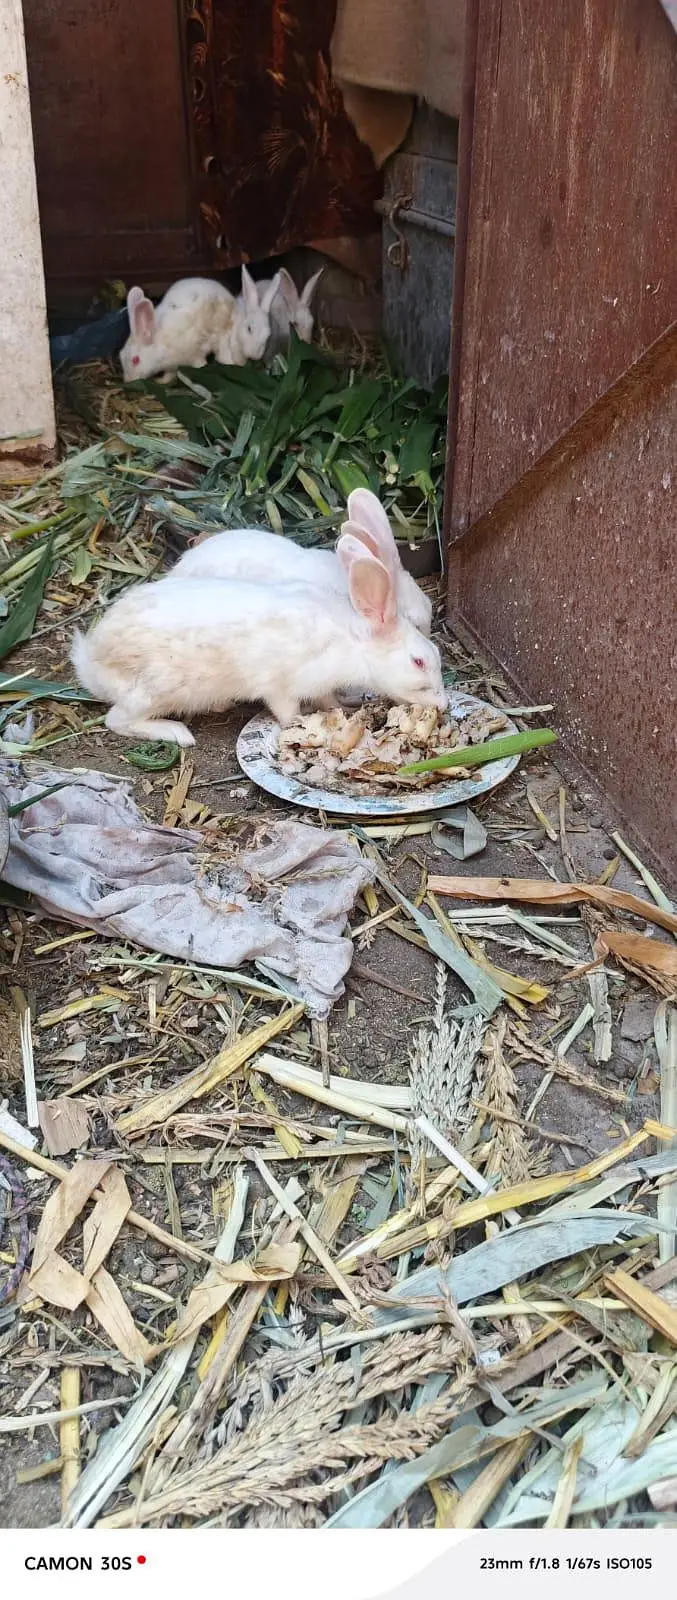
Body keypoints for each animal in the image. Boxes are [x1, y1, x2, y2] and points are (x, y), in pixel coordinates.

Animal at [70, 536, 445, 748]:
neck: (351, 642)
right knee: (117, 720)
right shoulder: (280, 687)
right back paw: (177, 733)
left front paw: (340, 708)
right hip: (154, 691)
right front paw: (300, 725)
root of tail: (91, 661)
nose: (442, 703)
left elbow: (327, 699)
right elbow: (287, 711)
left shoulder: (319, 685)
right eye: (418, 661)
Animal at [120, 267, 281, 382]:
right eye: (120, 356)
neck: (160, 343)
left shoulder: (189, 355)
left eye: (135, 360)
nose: (128, 381)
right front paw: (161, 382)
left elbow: (188, 367)